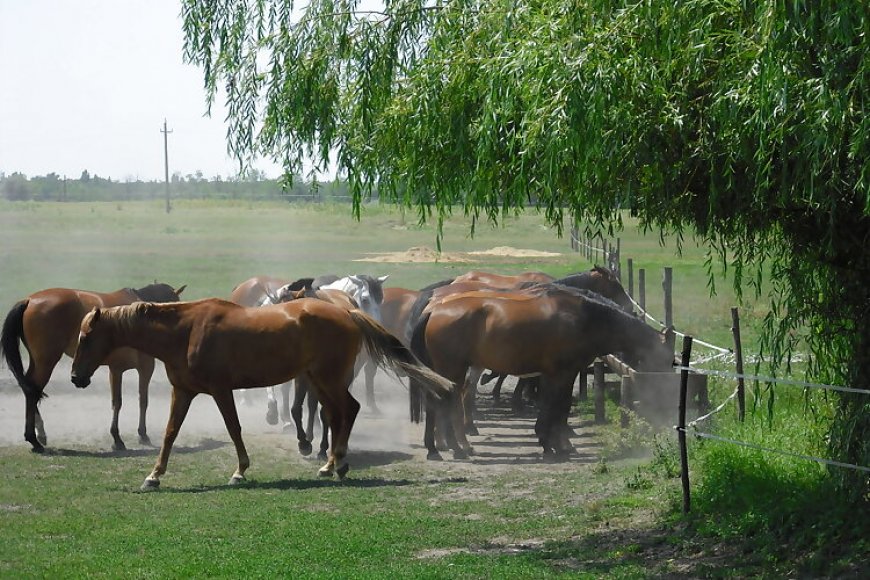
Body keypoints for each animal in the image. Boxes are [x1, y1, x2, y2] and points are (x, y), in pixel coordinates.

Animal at [0, 284, 186, 450]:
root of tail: (29, 300)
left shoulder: (116, 368)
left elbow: (118, 401)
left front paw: (118, 438)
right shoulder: (145, 367)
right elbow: (141, 400)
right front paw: (139, 435)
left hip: (37, 361)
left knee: (29, 387)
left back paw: (40, 433)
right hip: (46, 361)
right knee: (33, 391)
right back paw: (33, 439)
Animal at [69, 294, 454, 490]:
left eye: (86, 337)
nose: (75, 377)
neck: (186, 331)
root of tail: (346, 311)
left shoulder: (221, 390)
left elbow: (233, 428)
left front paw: (240, 471)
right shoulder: (184, 392)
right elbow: (169, 433)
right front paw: (153, 476)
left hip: (327, 378)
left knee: (348, 410)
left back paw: (333, 463)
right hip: (318, 380)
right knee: (338, 414)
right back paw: (334, 463)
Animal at [410, 286, 676, 458]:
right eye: (667, 359)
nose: (664, 393)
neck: (585, 319)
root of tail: (434, 310)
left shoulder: (553, 375)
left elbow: (552, 406)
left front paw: (548, 440)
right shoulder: (564, 373)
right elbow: (559, 406)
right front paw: (557, 445)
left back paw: (436, 447)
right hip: (453, 369)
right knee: (446, 403)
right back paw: (457, 447)